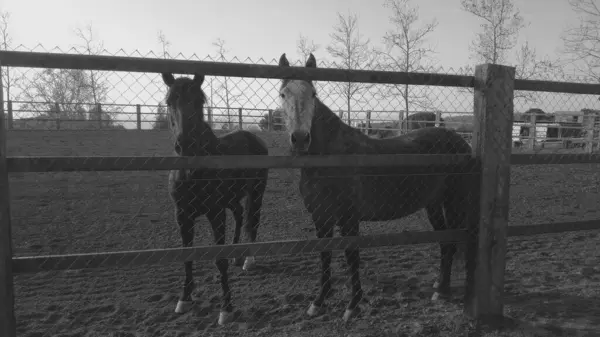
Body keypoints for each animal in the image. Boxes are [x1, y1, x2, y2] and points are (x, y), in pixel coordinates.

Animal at [162, 73, 270, 322]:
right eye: (169, 101)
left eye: (199, 102)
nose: (185, 144)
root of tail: (253, 137)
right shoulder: (182, 215)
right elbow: (187, 255)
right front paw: (184, 299)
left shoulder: (216, 213)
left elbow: (219, 260)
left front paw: (226, 309)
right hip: (232, 198)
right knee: (240, 215)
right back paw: (237, 256)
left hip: (256, 192)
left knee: (252, 221)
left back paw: (248, 260)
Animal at [278, 53, 476, 322]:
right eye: (283, 94)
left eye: (313, 93)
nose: (300, 138)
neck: (331, 159)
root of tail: (461, 143)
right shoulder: (321, 217)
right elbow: (324, 254)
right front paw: (318, 302)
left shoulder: (349, 217)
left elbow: (352, 256)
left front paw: (352, 305)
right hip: (433, 205)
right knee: (445, 243)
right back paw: (438, 285)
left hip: (454, 203)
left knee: (452, 242)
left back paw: (442, 291)